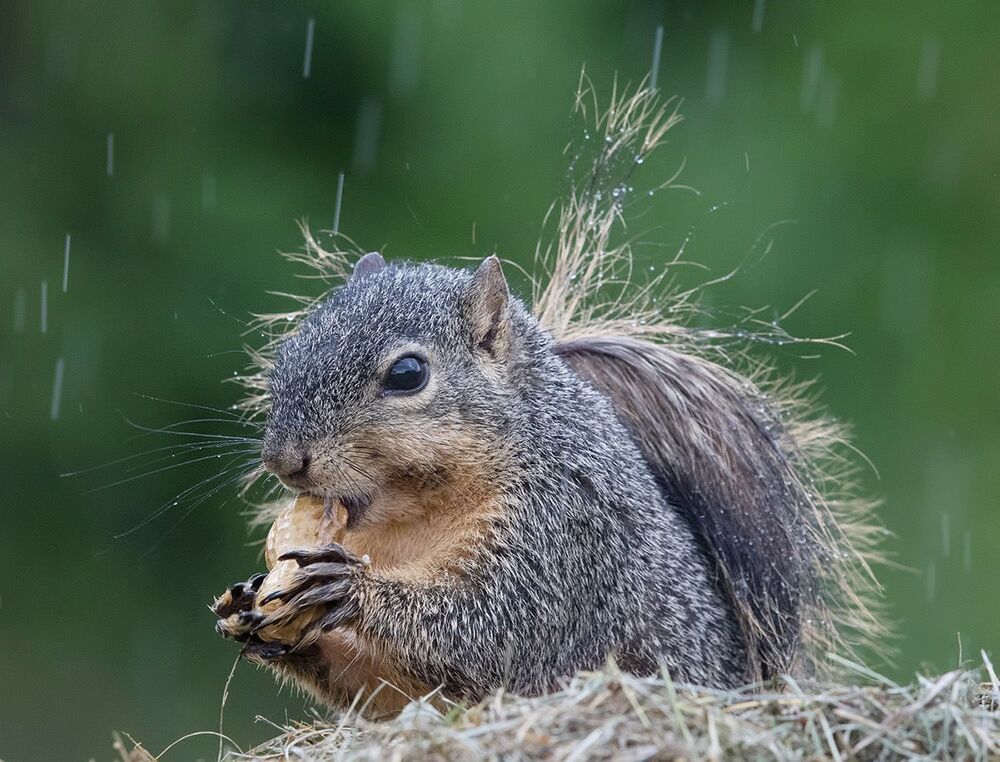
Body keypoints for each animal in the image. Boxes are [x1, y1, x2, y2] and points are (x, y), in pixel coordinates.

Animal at [213, 83, 884, 713]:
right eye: (288, 351)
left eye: (407, 374)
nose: (284, 461)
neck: (412, 515)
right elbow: (384, 689)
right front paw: (248, 608)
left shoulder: (564, 534)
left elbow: (494, 628)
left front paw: (351, 591)